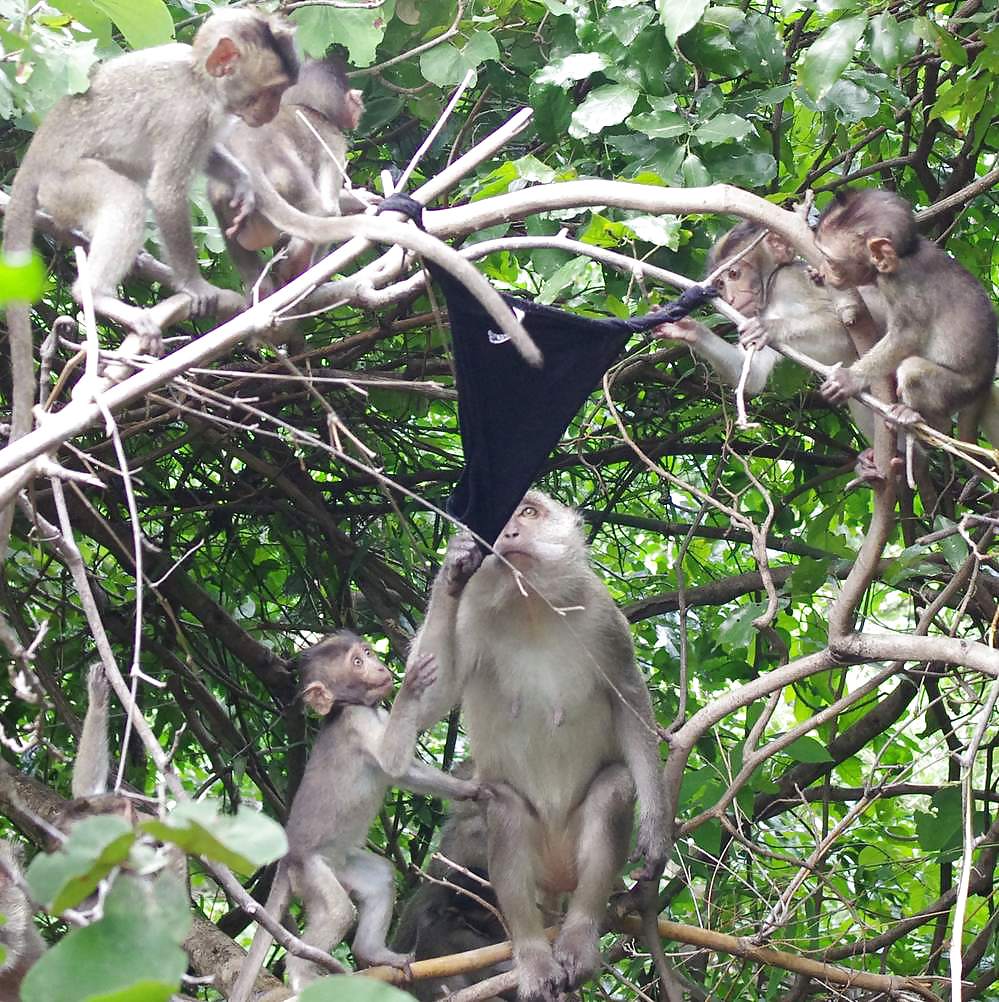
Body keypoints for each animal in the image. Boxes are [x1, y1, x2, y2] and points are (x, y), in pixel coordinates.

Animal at [209, 55, 373, 296]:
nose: (360, 101)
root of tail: (247, 157)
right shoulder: (333, 140)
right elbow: (330, 208)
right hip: (284, 178)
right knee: (320, 211)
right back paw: (299, 273)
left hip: (220, 195)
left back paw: (262, 288)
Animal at [229, 632, 482, 1002]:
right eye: (357, 663)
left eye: (367, 652)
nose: (379, 667)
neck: (354, 706)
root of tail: (288, 859)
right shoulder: (357, 724)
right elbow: (393, 762)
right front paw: (413, 685)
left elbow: (405, 770)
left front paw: (472, 790)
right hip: (313, 872)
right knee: (338, 913)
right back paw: (302, 975)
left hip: (342, 867)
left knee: (380, 878)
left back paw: (373, 953)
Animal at [411, 492, 667, 1002]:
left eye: (528, 512)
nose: (509, 532)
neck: (528, 604)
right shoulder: (469, 618)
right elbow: (430, 695)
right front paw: (453, 566)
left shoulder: (603, 615)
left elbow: (628, 697)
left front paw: (655, 828)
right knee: (504, 808)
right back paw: (532, 957)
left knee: (612, 788)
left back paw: (578, 938)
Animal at [654, 220, 885, 444]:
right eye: (720, 284)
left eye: (734, 274)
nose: (730, 299)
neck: (771, 293)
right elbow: (753, 374)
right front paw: (688, 330)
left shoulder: (790, 281)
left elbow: (848, 326)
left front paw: (769, 328)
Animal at [814, 188, 998, 439]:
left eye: (831, 261)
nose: (826, 271)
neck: (905, 254)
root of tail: (986, 383)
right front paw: (815, 274)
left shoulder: (900, 283)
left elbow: (908, 335)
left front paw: (850, 378)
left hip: (960, 389)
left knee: (913, 371)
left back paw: (925, 421)